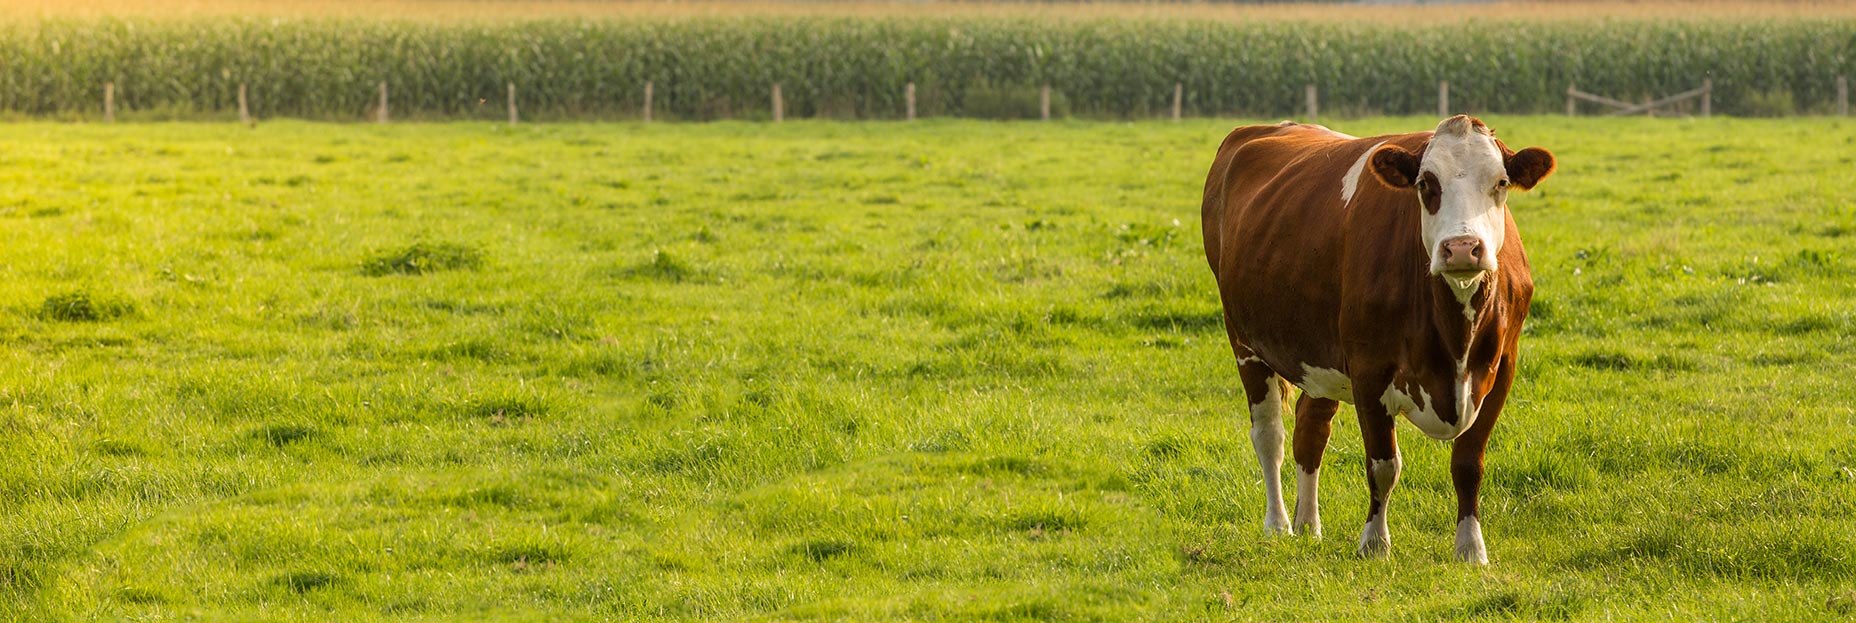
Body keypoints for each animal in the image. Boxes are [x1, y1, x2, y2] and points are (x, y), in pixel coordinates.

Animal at [1195, 114, 1559, 563]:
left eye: (1501, 182)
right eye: (1425, 184)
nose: (1461, 248)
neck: (1453, 335)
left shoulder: (1501, 369)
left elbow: (1468, 463)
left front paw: (1471, 548)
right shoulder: (1368, 370)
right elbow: (1383, 464)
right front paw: (1374, 543)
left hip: (1321, 356)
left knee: (1310, 431)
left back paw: (1308, 524)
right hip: (1244, 341)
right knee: (1269, 435)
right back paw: (1279, 524)